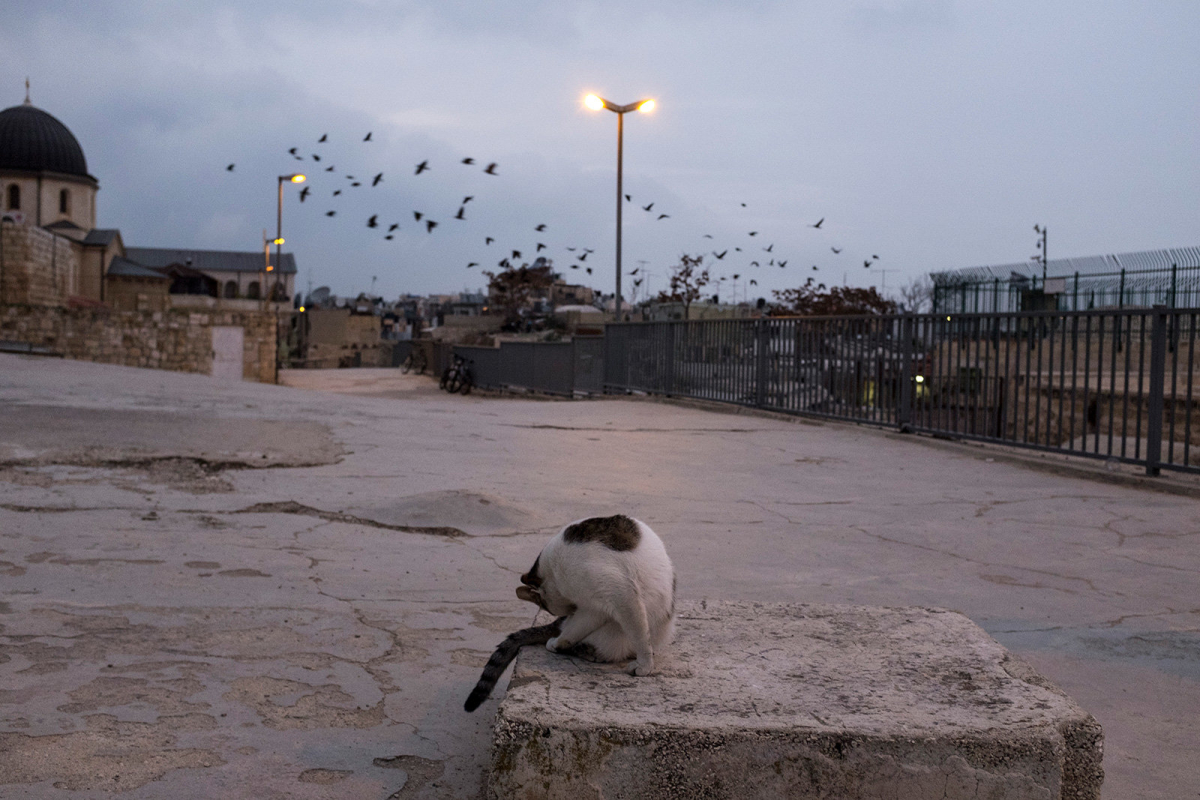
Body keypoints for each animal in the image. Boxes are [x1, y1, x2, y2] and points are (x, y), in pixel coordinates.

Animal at [463, 515, 676, 710]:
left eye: (546, 607)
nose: (568, 613)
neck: (554, 571)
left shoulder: (618, 592)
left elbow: (639, 636)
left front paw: (645, 665)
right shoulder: (592, 607)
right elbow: (576, 628)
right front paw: (560, 641)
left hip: (615, 632)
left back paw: (587, 651)